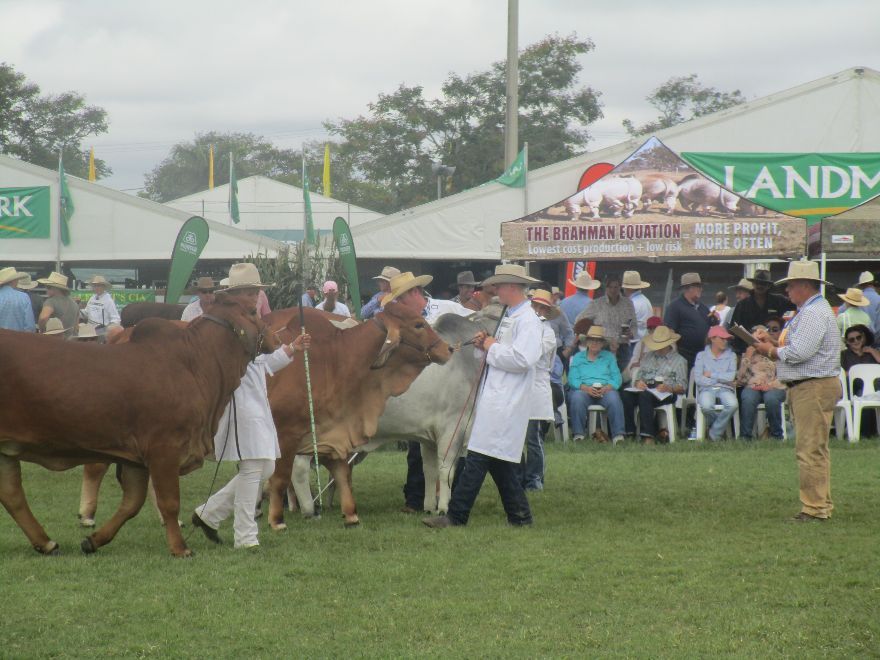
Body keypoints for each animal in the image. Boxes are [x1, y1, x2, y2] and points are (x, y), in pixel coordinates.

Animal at [290, 306, 502, 520]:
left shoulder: (429, 438)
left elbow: (429, 470)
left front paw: (429, 506)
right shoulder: (451, 428)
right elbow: (445, 470)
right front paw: (443, 508)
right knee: (298, 469)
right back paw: (309, 510)